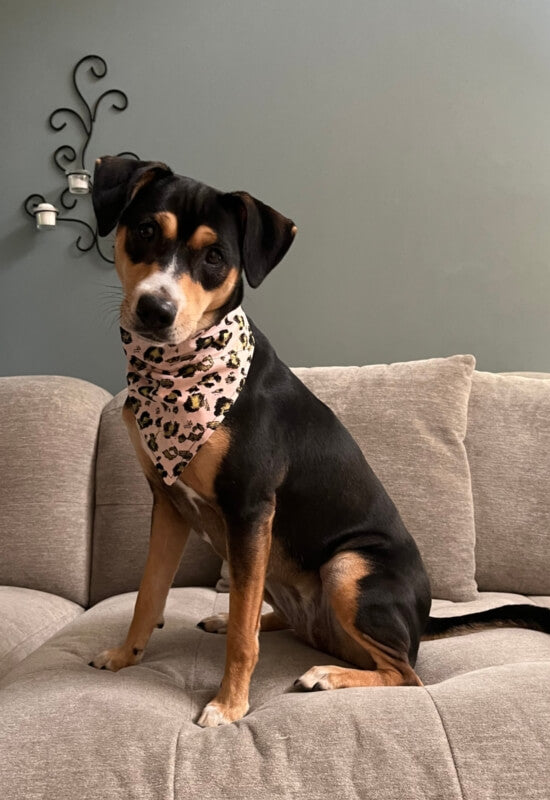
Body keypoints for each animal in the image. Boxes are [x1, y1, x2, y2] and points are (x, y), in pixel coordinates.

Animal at [90, 156, 550, 724]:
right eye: (146, 231)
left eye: (215, 257)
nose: (156, 310)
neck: (181, 374)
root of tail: (422, 619)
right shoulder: (170, 504)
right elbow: (149, 595)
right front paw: (125, 655)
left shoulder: (251, 510)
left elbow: (241, 638)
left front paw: (229, 704)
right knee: (275, 614)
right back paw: (242, 621)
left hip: (349, 567)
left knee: (407, 674)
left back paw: (327, 675)